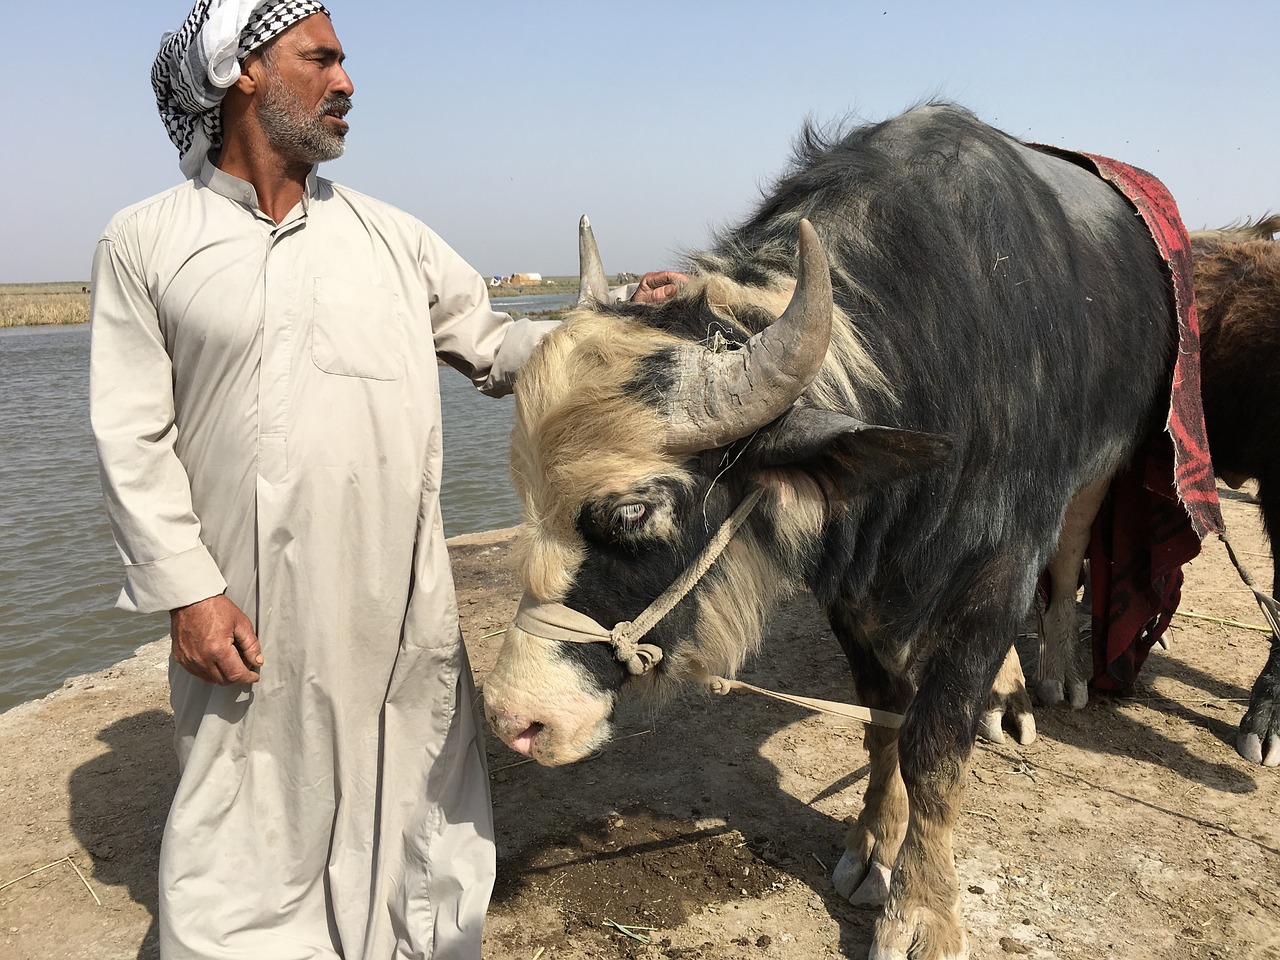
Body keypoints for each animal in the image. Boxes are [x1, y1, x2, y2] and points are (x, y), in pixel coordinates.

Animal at [483, 101, 1172, 957]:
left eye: (633, 511)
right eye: (525, 495)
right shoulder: (851, 587)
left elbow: (935, 741)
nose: (515, 719)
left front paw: (924, 911)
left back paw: (1051, 679)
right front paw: (872, 849)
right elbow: (884, 721)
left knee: (1070, 559)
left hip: (1102, 473)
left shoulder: (997, 567)